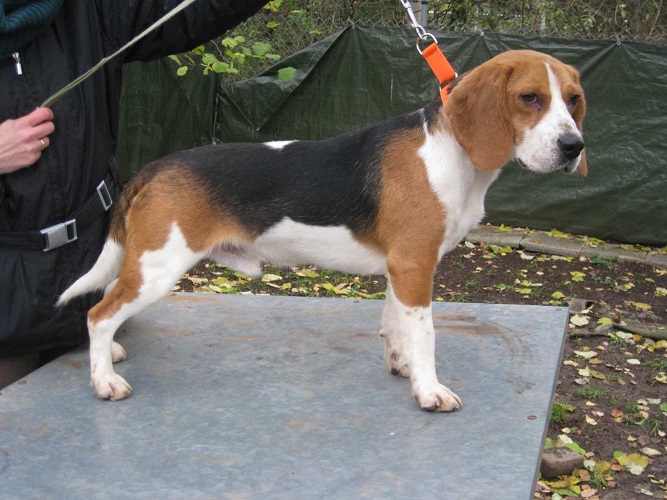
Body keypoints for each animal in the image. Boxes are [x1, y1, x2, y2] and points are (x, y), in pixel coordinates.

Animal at [58, 49, 587, 411]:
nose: (573, 146)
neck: (453, 149)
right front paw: (430, 390)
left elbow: (396, 324)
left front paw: (403, 365)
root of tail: (155, 167)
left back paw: (111, 354)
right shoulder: (416, 264)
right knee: (98, 314)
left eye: (574, 100)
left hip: (146, 264)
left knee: (108, 305)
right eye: (530, 99)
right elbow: (426, 333)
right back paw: (104, 380)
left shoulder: (401, 266)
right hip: (158, 267)